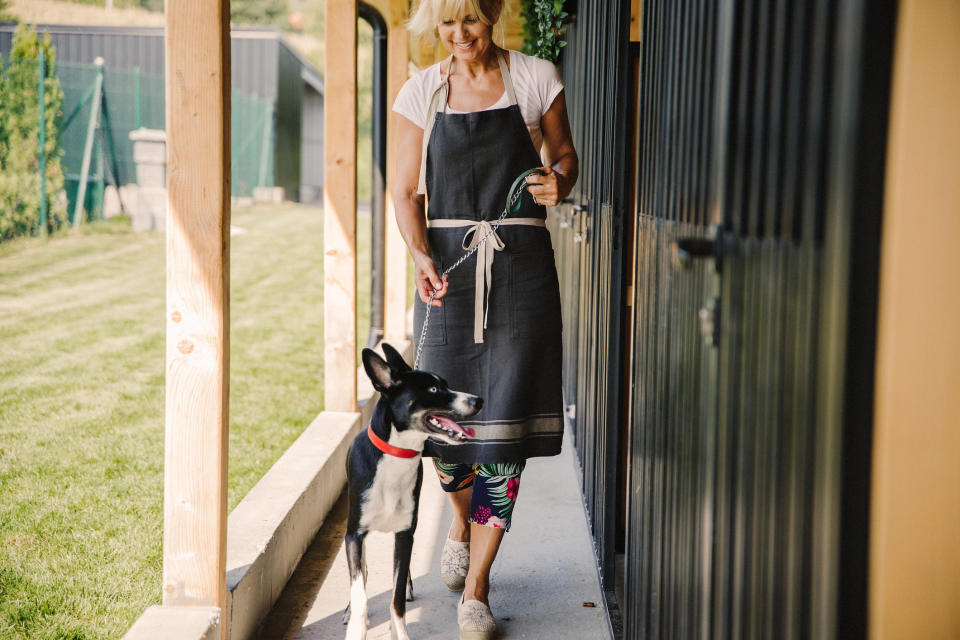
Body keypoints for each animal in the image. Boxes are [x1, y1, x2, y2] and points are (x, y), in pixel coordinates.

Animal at [344, 344, 480, 640]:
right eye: (433, 389)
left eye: (446, 384)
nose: (479, 400)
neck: (396, 456)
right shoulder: (354, 535)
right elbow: (360, 591)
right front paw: (356, 625)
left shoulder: (405, 534)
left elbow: (395, 599)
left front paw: (400, 632)